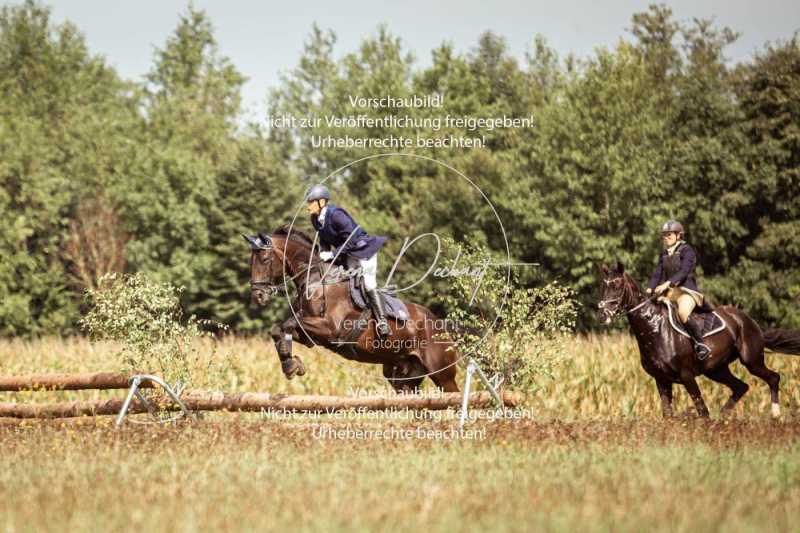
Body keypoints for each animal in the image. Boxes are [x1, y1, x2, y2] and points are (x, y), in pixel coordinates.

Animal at [244, 223, 460, 390]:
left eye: (265, 260)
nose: (258, 296)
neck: (316, 281)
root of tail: (441, 326)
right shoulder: (310, 336)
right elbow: (277, 329)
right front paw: (290, 363)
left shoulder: (330, 329)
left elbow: (288, 323)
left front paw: (290, 364)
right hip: (403, 376)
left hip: (442, 375)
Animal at [596, 262, 800, 416]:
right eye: (604, 286)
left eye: (617, 285)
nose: (603, 314)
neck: (654, 328)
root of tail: (748, 320)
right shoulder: (661, 380)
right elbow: (668, 415)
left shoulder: (686, 376)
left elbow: (702, 411)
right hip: (716, 369)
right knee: (741, 387)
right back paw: (723, 417)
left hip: (751, 360)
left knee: (773, 378)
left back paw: (775, 415)